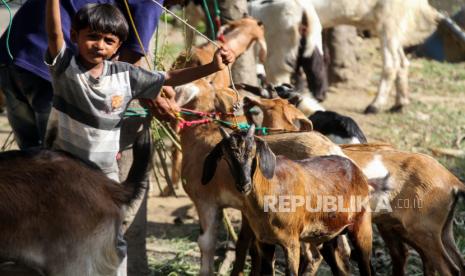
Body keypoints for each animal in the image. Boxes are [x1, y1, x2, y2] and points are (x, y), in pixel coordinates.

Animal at [203, 126, 374, 276]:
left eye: (253, 152)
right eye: (226, 156)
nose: (244, 184)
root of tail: (356, 170)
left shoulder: (291, 242)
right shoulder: (265, 242)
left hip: (362, 226)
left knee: (366, 266)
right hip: (329, 235)